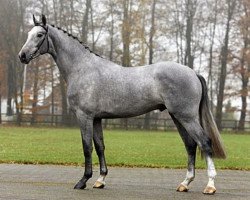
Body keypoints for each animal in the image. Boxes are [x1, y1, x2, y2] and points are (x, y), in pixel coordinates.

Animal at [18, 14, 226, 195]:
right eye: (28, 34)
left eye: (39, 35)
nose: (22, 56)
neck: (82, 68)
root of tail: (193, 72)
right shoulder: (97, 118)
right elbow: (100, 146)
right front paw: (100, 180)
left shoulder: (84, 116)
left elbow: (87, 147)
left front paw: (83, 181)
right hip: (177, 117)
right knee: (190, 145)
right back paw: (185, 183)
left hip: (187, 117)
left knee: (205, 143)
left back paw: (210, 185)